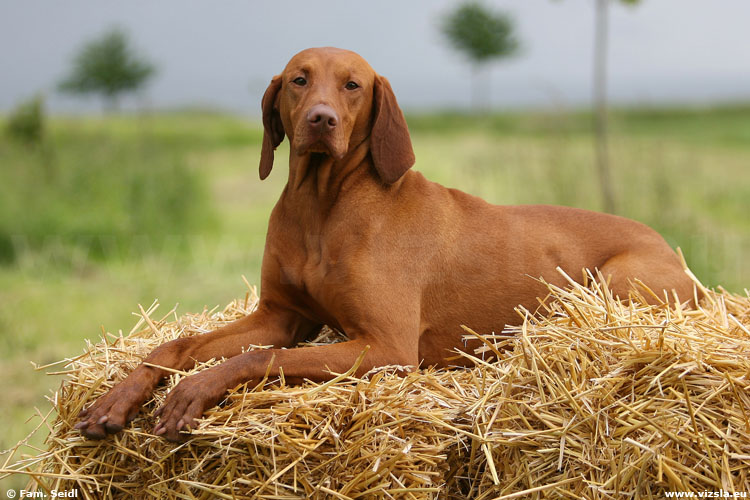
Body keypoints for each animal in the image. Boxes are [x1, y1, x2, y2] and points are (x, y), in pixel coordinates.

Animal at [76, 47, 700, 442]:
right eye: (300, 79)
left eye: (353, 85)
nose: (321, 120)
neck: (322, 207)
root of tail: (670, 247)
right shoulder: (280, 316)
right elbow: (178, 345)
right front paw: (117, 398)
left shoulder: (385, 348)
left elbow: (260, 358)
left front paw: (192, 393)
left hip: (616, 281)